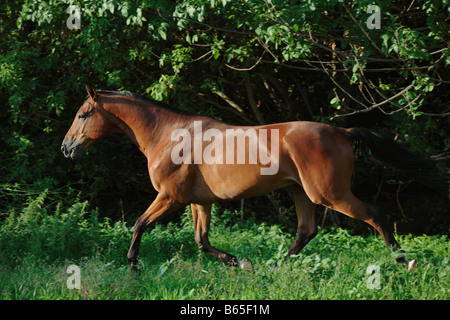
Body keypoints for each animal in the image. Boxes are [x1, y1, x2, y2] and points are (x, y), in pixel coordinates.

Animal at [62, 85, 446, 272]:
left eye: (82, 115)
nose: (67, 148)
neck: (168, 135)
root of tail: (341, 131)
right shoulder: (199, 202)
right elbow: (202, 241)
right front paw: (239, 262)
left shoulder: (171, 197)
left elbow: (139, 223)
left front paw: (132, 266)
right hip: (301, 193)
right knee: (306, 231)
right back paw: (274, 267)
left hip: (329, 194)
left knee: (374, 215)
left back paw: (405, 262)